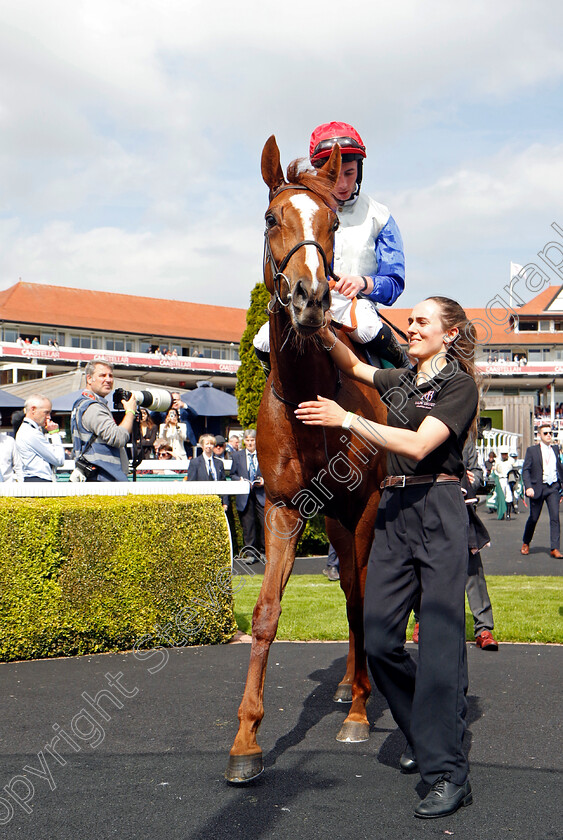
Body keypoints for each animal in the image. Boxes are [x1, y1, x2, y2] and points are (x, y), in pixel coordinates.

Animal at [225, 135, 388, 784]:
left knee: (361, 589)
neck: (307, 395)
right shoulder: (281, 507)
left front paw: (362, 715)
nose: (312, 297)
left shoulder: (363, 501)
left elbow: (362, 599)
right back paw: (348, 684)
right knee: (347, 585)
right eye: (273, 217)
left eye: (333, 226)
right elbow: (266, 611)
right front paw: (246, 738)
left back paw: (363, 691)